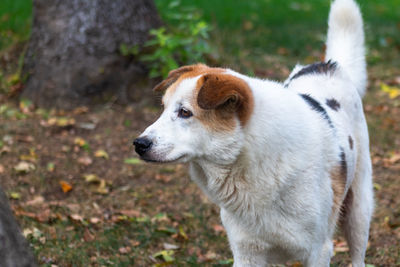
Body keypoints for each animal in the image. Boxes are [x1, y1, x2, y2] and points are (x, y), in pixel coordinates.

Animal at [134, 0, 372, 266]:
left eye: (185, 112)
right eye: (163, 108)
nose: (139, 144)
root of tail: (328, 65)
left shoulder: (318, 251)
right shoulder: (247, 252)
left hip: (359, 211)